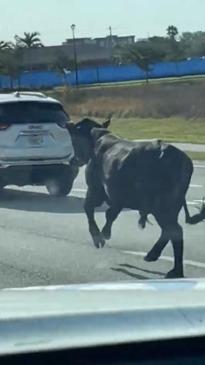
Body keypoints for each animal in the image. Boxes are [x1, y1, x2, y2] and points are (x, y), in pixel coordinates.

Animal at [67, 118, 205, 278]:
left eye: (73, 139)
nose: (72, 160)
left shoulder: (95, 190)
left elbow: (89, 209)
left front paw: (99, 238)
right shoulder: (118, 197)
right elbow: (110, 214)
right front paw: (105, 233)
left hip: (162, 206)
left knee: (175, 230)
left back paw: (175, 270)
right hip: (171, 207)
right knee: (169, 230)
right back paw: (153, 256)